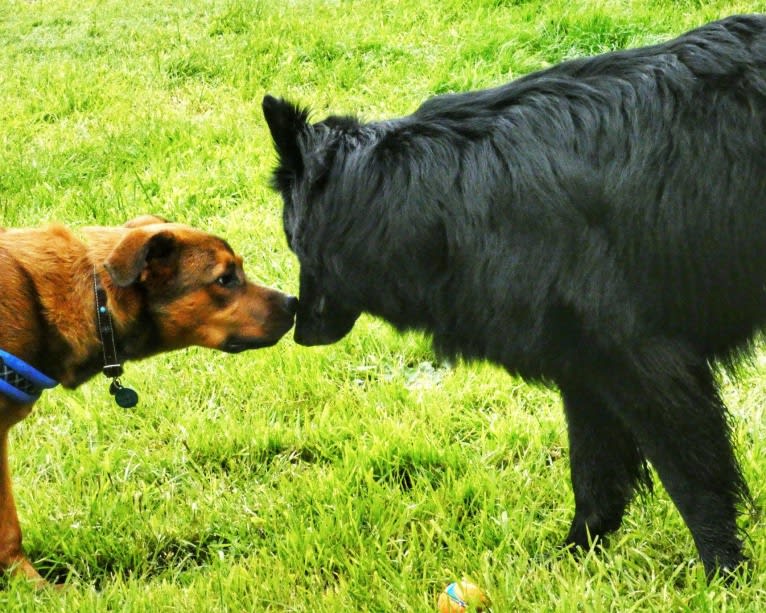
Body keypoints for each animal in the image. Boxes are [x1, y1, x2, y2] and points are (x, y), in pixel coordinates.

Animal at [268, 14, 766, 576]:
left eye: (293, 241)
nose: (298, 329)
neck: (431, 196)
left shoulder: (647, 363)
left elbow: (695, 482)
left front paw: (723, 571)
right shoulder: (586, 369)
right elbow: (594, 477)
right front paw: (575, 557)